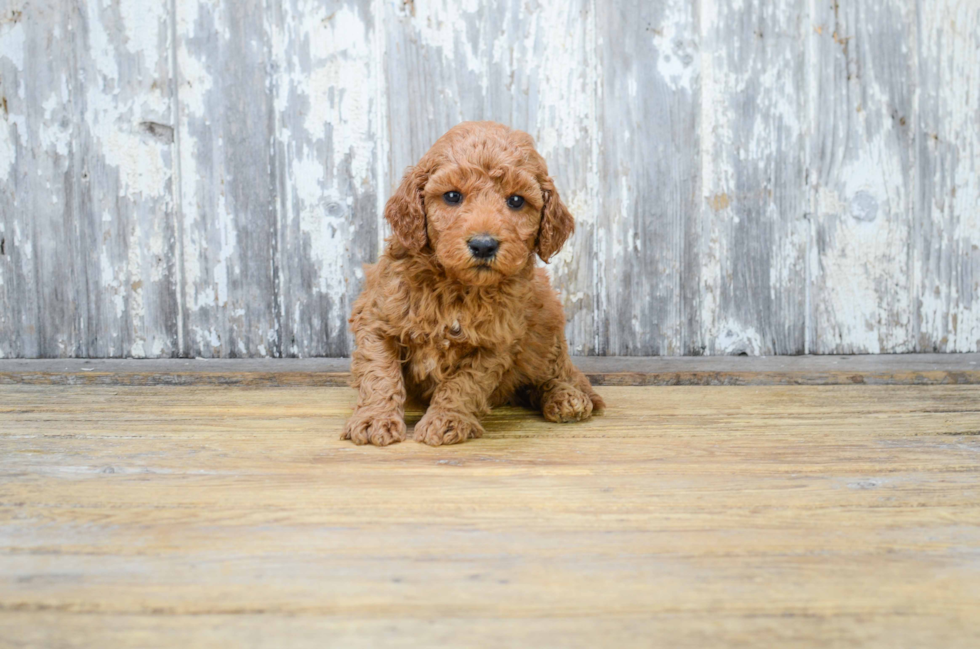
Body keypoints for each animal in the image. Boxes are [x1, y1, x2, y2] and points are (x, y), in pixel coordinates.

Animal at [342, 121, 604, 446]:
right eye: (452, 196)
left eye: (516, 200)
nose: (483, 245)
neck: (456, 287)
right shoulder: (376, 319)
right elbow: (379, 373)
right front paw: (374, 419)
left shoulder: (495, 343)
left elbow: (464, 384)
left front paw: (446, 419)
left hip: (546, 329)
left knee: (561, 372)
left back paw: (567, 398)